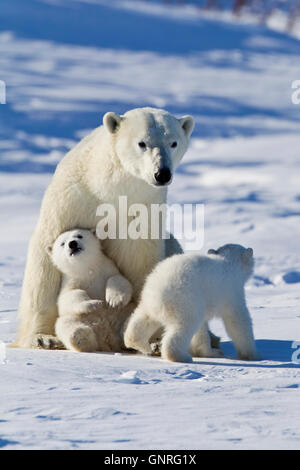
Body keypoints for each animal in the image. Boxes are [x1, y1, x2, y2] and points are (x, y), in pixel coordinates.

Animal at [14, 106, 218, 348]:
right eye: (142, 143)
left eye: (173, 142)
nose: (162, 173)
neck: (109, 191)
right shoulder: (72, 201)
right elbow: (44, 265)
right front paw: (42, 337)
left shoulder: (140, 212)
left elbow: (139, 261)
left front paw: (149, 334)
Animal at [124, 244, 260, 362]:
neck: (229, 262)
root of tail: (159, 289)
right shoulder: (232, 292)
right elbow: (238, 321)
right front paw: (253, 355)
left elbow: (201, 329)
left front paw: (210, 352)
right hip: (184, 300)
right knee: (183, 327)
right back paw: (181, 357)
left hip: (148, 300)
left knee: (143, 319)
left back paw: (139, 344)